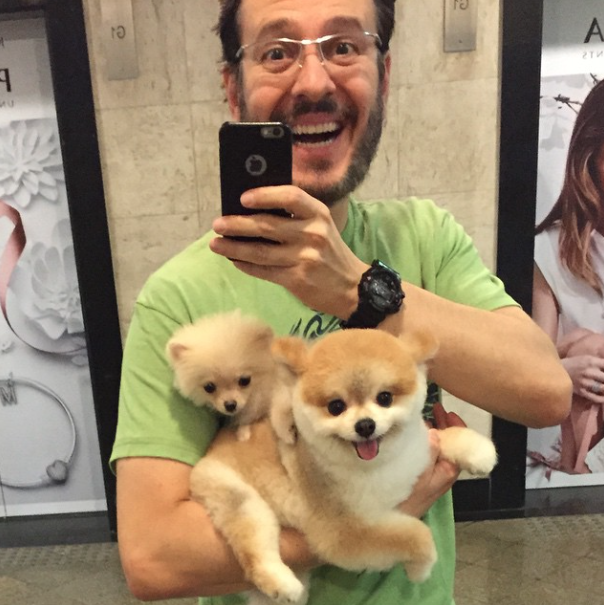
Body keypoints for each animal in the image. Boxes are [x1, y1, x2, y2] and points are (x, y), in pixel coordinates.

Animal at [166, 310, 294, 442]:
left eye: (245, 380)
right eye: (209, 387)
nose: (230, 405)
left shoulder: (282, 388)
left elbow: (279, 410)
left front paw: (286, 433)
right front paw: (243, 432)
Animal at [189, 328, 498, 604]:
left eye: (385, 398)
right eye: (336, 406)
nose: (365, 425)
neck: (382, 464)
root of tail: (209, 456)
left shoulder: (418, 450)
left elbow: (445, 436)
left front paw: (478, 451)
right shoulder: (344, 531)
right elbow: (417, 535)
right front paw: (419, 569)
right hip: (238, 497)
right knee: (254, 550)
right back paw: (281, 582)